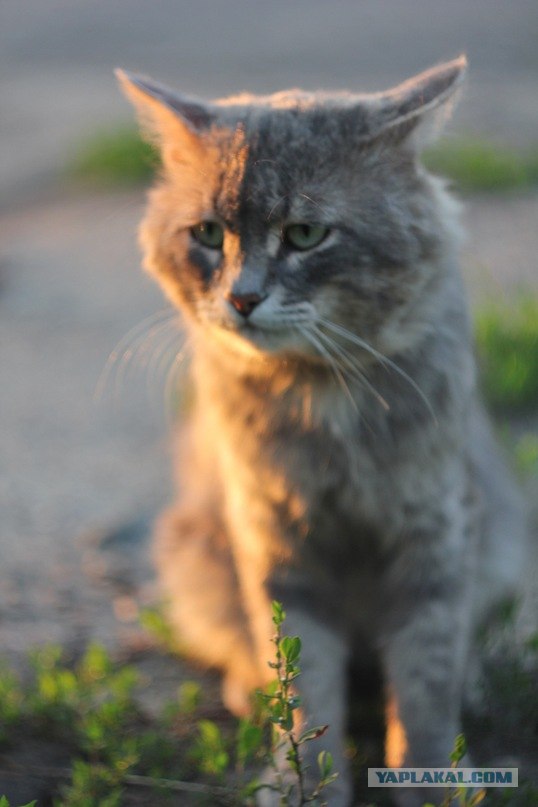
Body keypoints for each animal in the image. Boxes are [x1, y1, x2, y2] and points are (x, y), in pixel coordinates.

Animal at [116, 58, 524, 807]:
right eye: (208, 234)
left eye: (305, 234)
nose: (243, 298)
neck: (322, 394)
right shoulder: (277, 544)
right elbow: (304, 690)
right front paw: (302, 781)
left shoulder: (435, 534)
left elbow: (426, 683)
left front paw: (431, 779)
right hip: (195, 551)